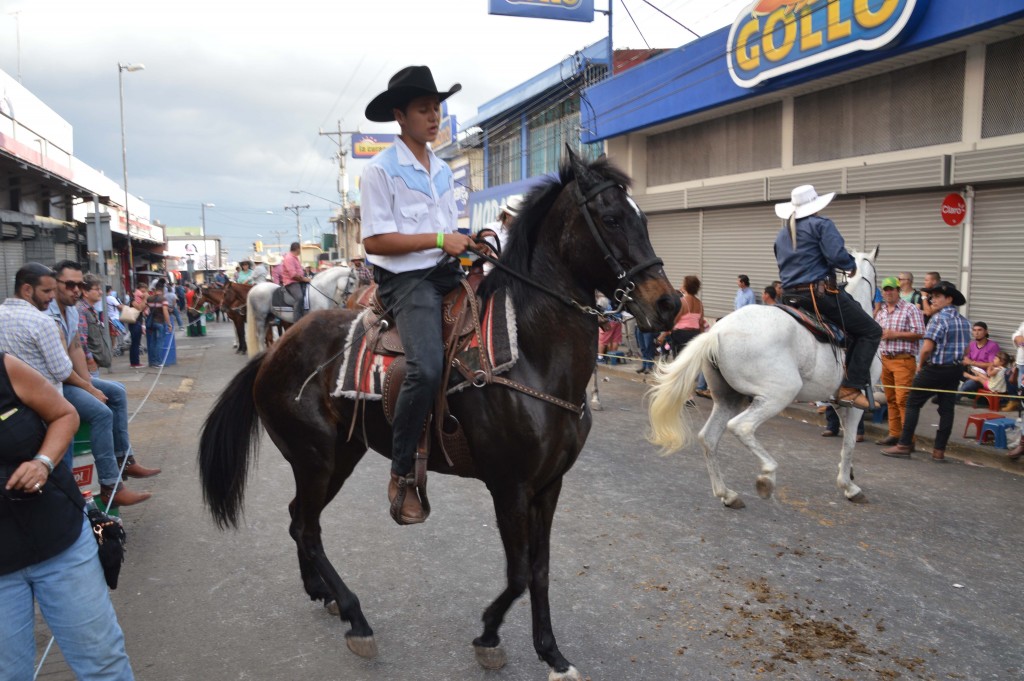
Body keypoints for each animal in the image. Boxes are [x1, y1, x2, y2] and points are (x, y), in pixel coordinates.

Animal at [647, 246, 880, 507]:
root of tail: (715, 333)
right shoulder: (855, 403)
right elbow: (849, 442)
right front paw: (849, 486)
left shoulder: (838, 402)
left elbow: (845, 440)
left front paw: (848, 475)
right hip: (778, 394)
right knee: (742, 427)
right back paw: (767, 476)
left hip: (729, 398)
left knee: (709, 437)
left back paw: (727, 493)